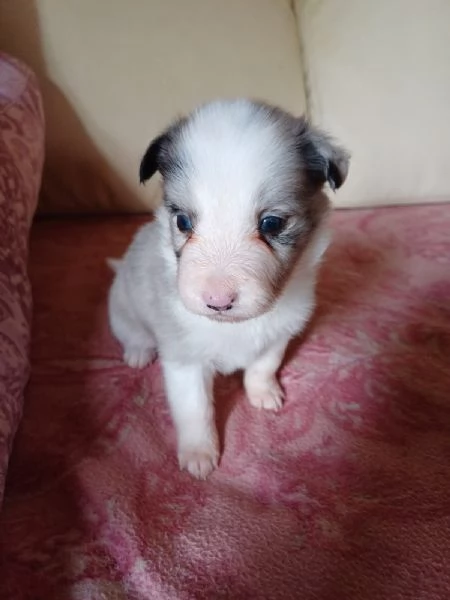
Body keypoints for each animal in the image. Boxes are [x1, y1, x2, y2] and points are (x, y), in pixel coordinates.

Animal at [108, 101, 348, 480]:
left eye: (271, 223)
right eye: (183, 222)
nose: (217, 302)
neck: (236, 328)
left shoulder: (279, 333)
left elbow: (263, 365)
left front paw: (263, 392)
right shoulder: (185, 359)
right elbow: (195, 409)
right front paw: (199, 453)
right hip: (121, 308)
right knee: (132, 334)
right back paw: (138, 352)